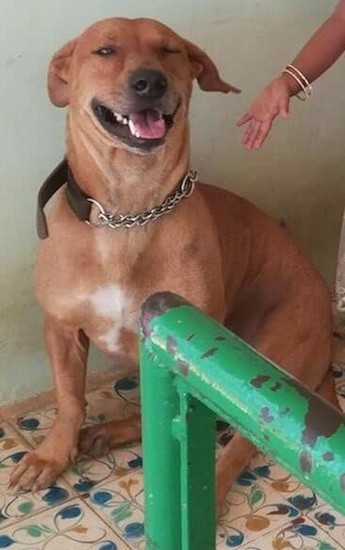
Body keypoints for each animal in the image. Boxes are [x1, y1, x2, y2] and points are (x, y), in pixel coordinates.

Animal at [10, 17, 336, 516]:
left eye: (169, 50)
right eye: (105, 50)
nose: (150, 82)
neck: (128, 212)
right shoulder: (61, 327)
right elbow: (69, 400)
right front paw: (52, 454)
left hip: (262, 379)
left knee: (235, 448)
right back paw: (108, 432)